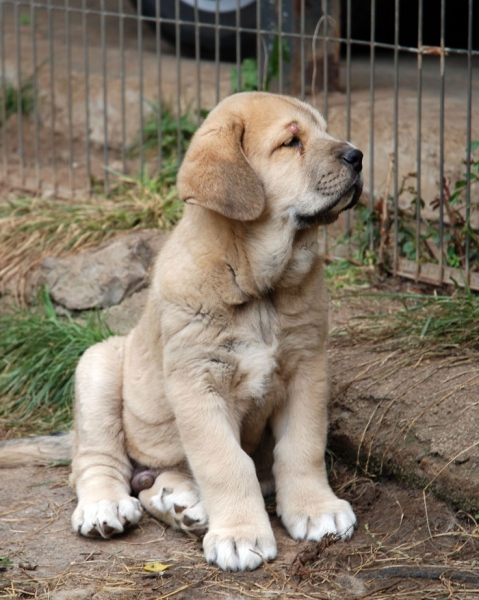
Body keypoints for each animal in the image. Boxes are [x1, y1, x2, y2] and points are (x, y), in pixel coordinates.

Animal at [0, 92, 364, 572]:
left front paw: (314, 508)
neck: (261, 287)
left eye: (324, 130)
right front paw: (239, 534)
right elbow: (226, 462)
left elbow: (301, 446)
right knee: (96, 463)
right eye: (291, 142)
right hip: (96, 367)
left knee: (156, 480)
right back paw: (106, 507)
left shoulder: (307, 367)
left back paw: (182, 504)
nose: (358, 156)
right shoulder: (197, 381)